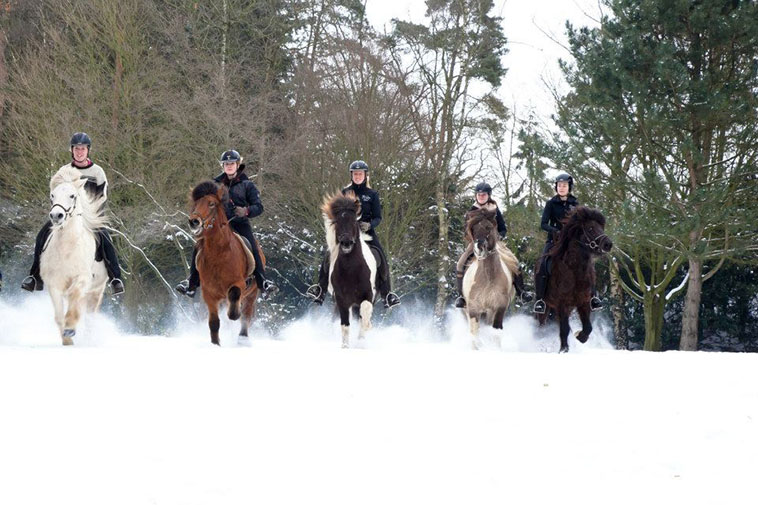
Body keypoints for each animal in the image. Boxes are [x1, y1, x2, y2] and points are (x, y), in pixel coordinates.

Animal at [40, 167, 109, 344]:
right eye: (52, 195)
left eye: (72, 195)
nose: (56, 216)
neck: (67, 249)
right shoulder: (53, 284)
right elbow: (59, 317)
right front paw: (67, 341)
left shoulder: (83, 278)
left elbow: (74, 295)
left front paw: (70, 326)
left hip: (96, 291)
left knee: (90, 317)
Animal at [189, 179, 262, 344]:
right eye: (195, 204)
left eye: (211, 203)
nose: (194, 221)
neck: (218, 254)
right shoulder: (209, 293)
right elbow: (214, 323)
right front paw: (215, 344)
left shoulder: (238, 284)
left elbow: (235, 303)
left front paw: (233, 314)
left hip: (252, 293)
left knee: (246, 316)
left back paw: (242, 338)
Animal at [322, 191, 378, 348]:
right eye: (337, 222)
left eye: (354, 222)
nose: (346, 243)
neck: (351, 268)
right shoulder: (341, 299)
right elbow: (345, 324)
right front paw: (345, 346)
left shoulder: (368, 295)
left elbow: (365, 311)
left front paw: (363, 337)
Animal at [536, 205, 616, 350]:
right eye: (590, 228)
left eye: (601, 228)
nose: (608, 244)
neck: (575, 271)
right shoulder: (562, 304)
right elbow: (564, 330)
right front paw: (564, 350)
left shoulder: (583, 302)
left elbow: (588, 327)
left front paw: (580, 336)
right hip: (545, 306)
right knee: (542, 323)